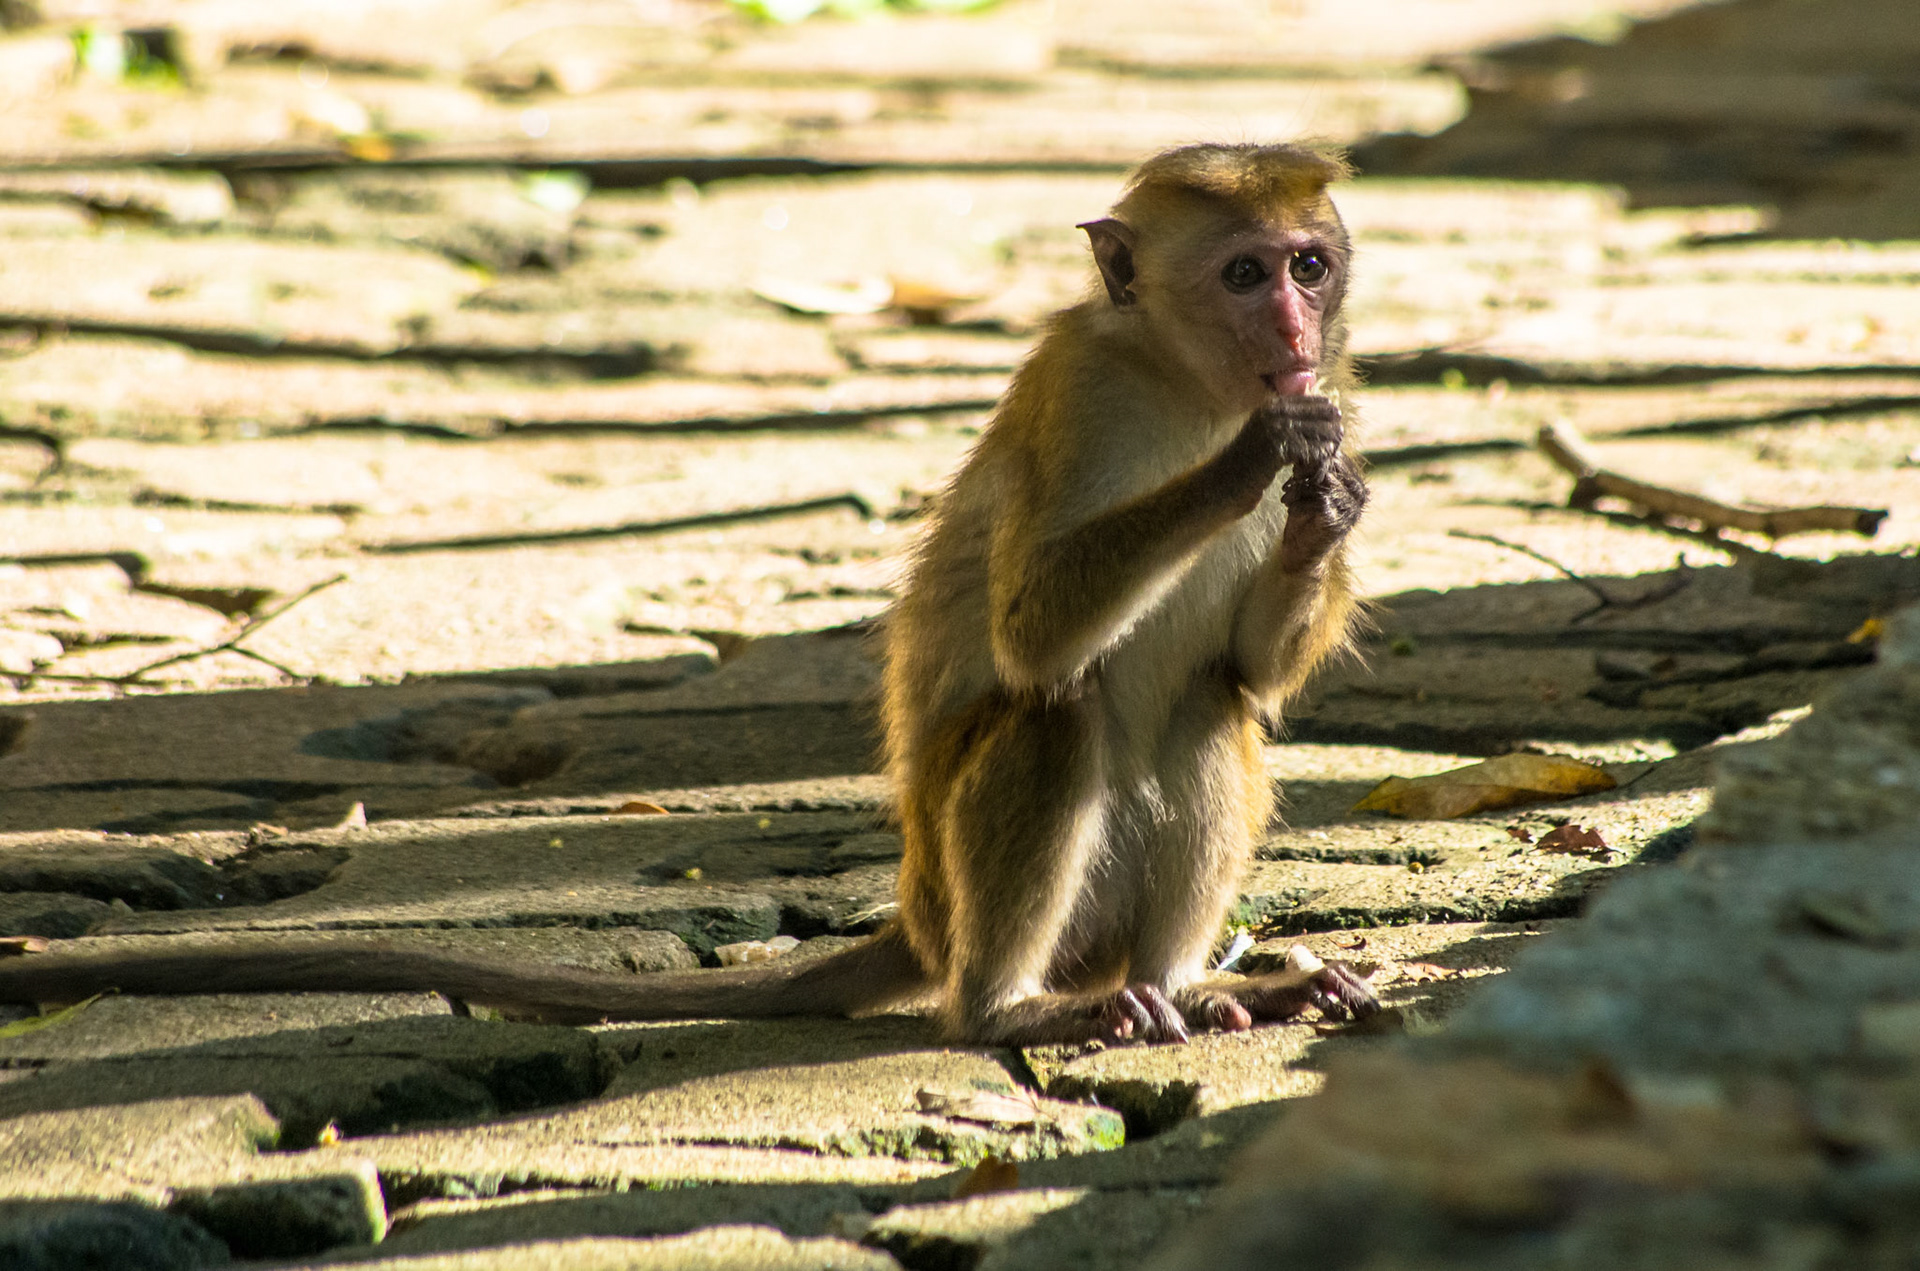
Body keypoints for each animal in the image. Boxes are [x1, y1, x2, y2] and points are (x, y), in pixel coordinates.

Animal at [0, 143, 1376, 1046]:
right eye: (1246, 273)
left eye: (1311, 263)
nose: (1297, 332)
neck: (1184, 384)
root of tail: (921, 917)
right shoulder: (1074, 395)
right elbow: (1035, 635)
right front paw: (1256, 462)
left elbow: (1252, 670)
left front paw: (1322, 507)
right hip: (963, 902)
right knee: (1059, 713)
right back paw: (1013, 1008)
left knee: (1209, 705)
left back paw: (1192, 982)